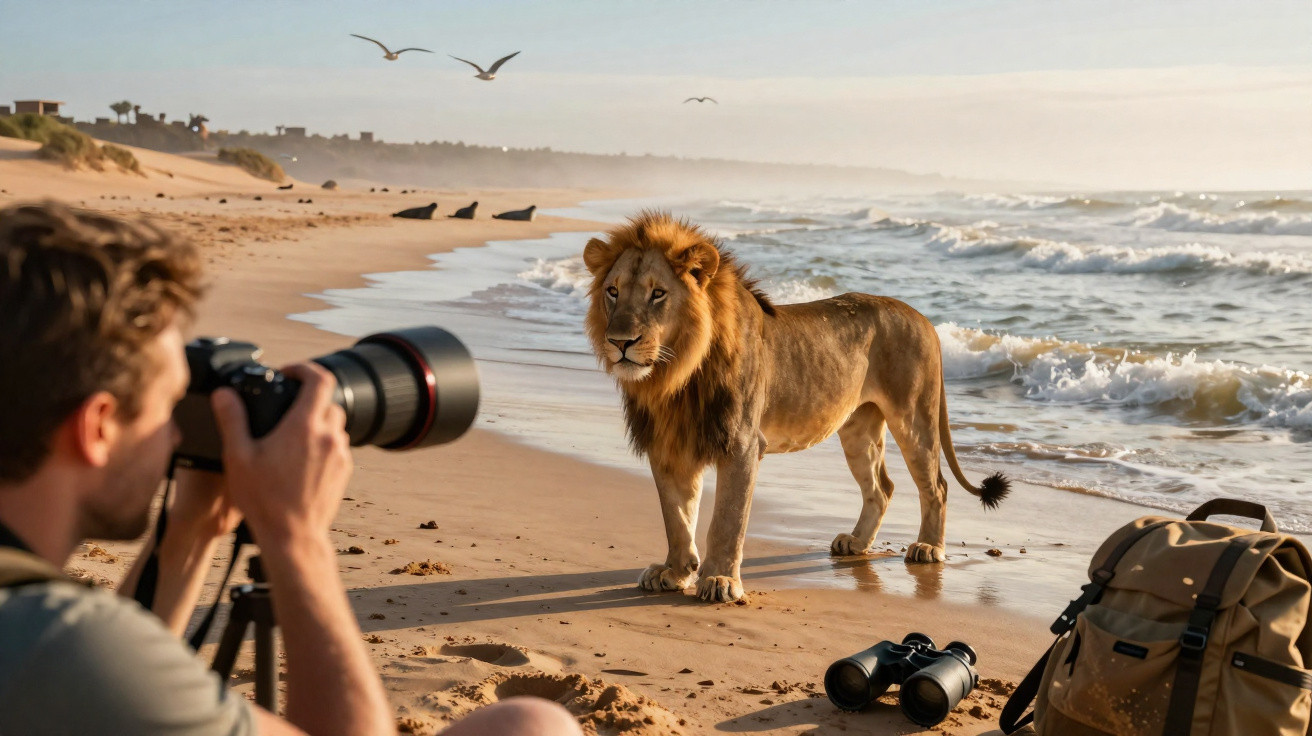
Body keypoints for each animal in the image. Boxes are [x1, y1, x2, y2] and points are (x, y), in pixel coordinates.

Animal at [582, 211, 1009, 603]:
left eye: (657, 294)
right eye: (613, 291)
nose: (620, 342)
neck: (675, 375)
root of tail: (926, 320)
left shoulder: (742, 444)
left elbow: (727, 519)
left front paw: (720, 579)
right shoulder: (669, 444)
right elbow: (677, 517)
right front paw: (674, 571)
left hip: (914, 417)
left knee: (936, 485)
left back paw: (928, 548)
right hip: (859, 429)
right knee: (882, 487)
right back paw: (856, 542)